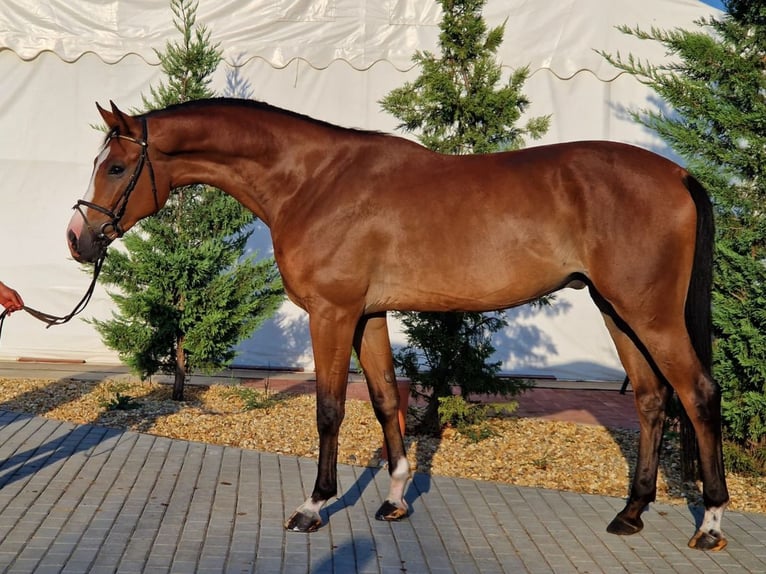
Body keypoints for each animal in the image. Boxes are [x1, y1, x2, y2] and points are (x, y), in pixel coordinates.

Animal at [67, 99, 732, 552]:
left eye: (117, 166)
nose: (78, 239)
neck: (313, 181)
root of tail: (675, 174)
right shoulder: (369, 315)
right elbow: (387, 401)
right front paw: (393, 500)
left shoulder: (333, 314)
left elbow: (331, 409)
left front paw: (313, 507)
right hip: (617, 311)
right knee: (652, 399)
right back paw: (632, 512)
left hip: (649, 313)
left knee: (699, 394)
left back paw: (711, 522)